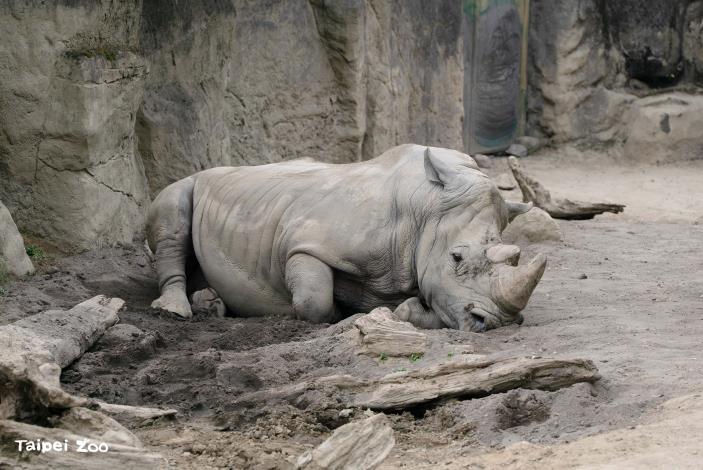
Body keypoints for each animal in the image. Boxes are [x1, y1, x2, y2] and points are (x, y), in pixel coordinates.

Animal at [146, 144, 547, 332]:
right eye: (457, 258)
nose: (493, 322)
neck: (425, 209)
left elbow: (433, 301)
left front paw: (404, 311)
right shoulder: (305, 244)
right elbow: (314, 300)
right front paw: (343, 315)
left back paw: (211, 304)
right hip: (188, 184)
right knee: (173, 213)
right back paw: (176, 310)